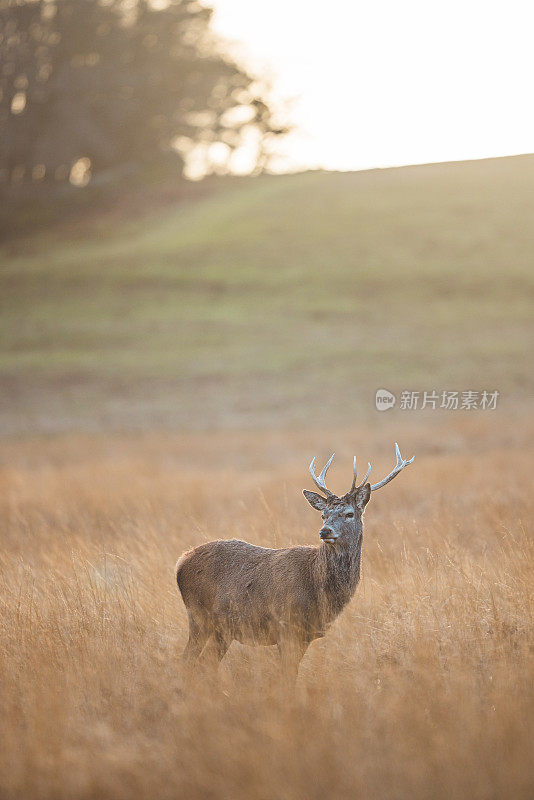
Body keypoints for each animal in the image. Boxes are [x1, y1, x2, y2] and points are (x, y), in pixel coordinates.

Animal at [176, 444, 414, 680]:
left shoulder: (304, 635)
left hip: (222, 629)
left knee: (206, 663)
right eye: (323, 514)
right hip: (198, 616)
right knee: (187, 659)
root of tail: (181, 561)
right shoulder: (287, 626)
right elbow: (288, 676)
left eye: (349, 513)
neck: (317, 586)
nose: (325, 531)